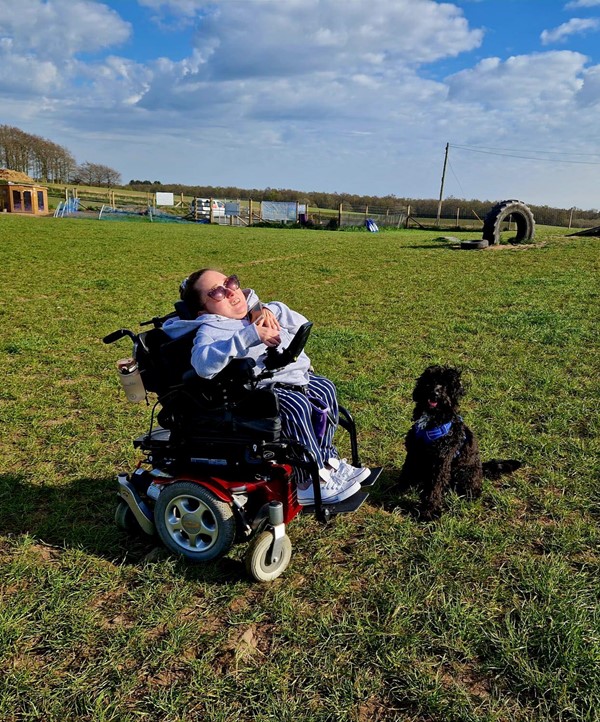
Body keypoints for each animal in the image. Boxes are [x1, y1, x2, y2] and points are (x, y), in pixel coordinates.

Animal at [398, 366, 520, 516]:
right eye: (431, 380)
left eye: (446, 385)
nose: (434, 392)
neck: (433, 419)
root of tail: (481, 468)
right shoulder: (414, 452)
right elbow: (407, 472)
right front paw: (395, 490)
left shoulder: (441, 462)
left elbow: (435, 487)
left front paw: (429, 511)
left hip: (464, 474)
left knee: (471, 491)